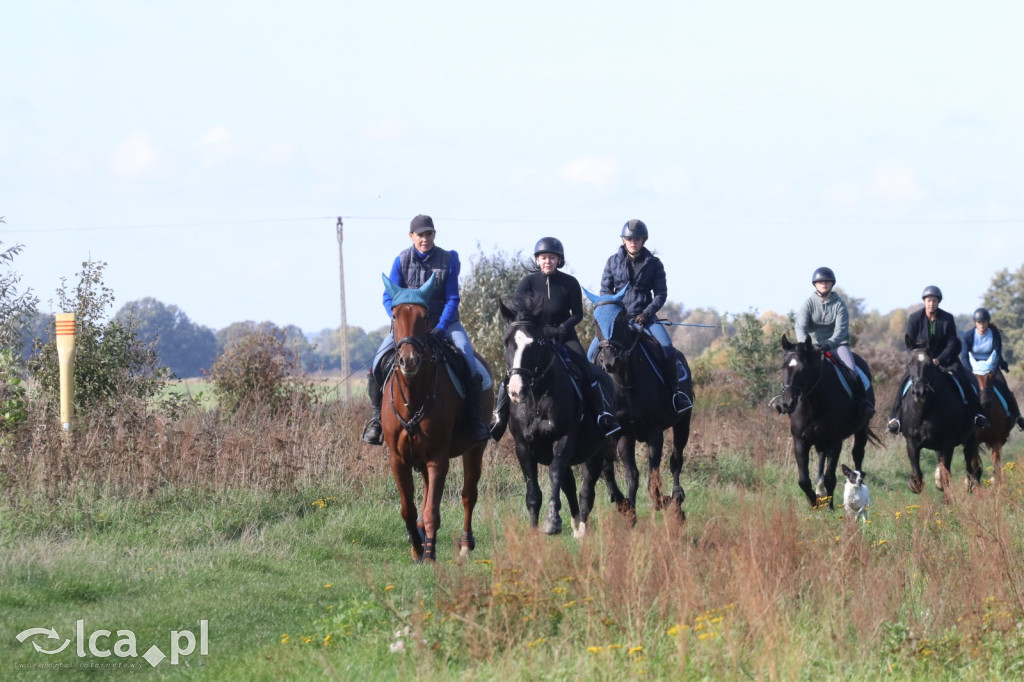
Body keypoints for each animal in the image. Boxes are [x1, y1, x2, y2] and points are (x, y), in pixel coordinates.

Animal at [378, 274, 493, 561]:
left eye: (425, 315)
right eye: (395, 315)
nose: (409, 360)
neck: (413, 395)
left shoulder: (438, 458)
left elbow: (433, 510)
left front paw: (429, 553)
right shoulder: (398, 460)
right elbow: (408, 509)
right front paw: (417, 547)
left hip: (475, 449)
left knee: (468, 496)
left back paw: (465, 544)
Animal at [495, 294, 614, 532]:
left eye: (535, 344)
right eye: (507, 342)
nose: (516, 390)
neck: (536, 399)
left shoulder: (564, 439)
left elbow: (554, 474)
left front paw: (553, 521)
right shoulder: (523, 446)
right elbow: (533, 492)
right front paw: (534, 531)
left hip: (597, 451)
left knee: (586, 490)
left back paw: (582, 528)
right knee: (570, 485)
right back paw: (576, 523)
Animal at [585, 284, 696, 516]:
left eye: (620, 319)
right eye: (595, 321)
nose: (609, 360)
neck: (626, 383)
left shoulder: (655, 434)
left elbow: (653, 474)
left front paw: (660, 500)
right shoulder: (624, 436)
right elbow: (630, 475)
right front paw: (629, 510)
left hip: (683, 422)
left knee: (676, 459)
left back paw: (676, 496)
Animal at [774, 333, 880, 509]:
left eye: (803, 369)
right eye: (783, 368)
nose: (787, 403)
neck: (813, 402)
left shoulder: (835, 442)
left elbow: (831, 477)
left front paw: (830, 507)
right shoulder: (800, 441)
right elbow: (803, 480)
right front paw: (813, 502)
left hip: (862, 428)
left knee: (858, 454)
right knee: (821, 456)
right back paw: (819, 489)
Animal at [897, 333, 983, 497]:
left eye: (930, 364)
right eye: (910, 363)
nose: (920, 392)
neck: (925, 411)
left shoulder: (947, 443)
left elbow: (946, 477)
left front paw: (947, 499)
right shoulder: (911, 442)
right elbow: (917, 477)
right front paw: (916, 483)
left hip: (971, 437)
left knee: (969, 461)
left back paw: (970, 483)